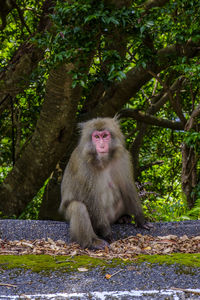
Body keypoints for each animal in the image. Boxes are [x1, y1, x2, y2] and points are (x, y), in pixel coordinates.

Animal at [58, 116, 148, 250]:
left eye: (105, 135)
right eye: (96, 137)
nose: (101, 145)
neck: (103, 161)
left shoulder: (122, 158)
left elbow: (127, 187)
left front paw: (140, 219)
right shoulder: (82, 164)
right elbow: (89, 197)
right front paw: (106, 233)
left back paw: (122, 218)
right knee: (78, 207)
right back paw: (92, 242)